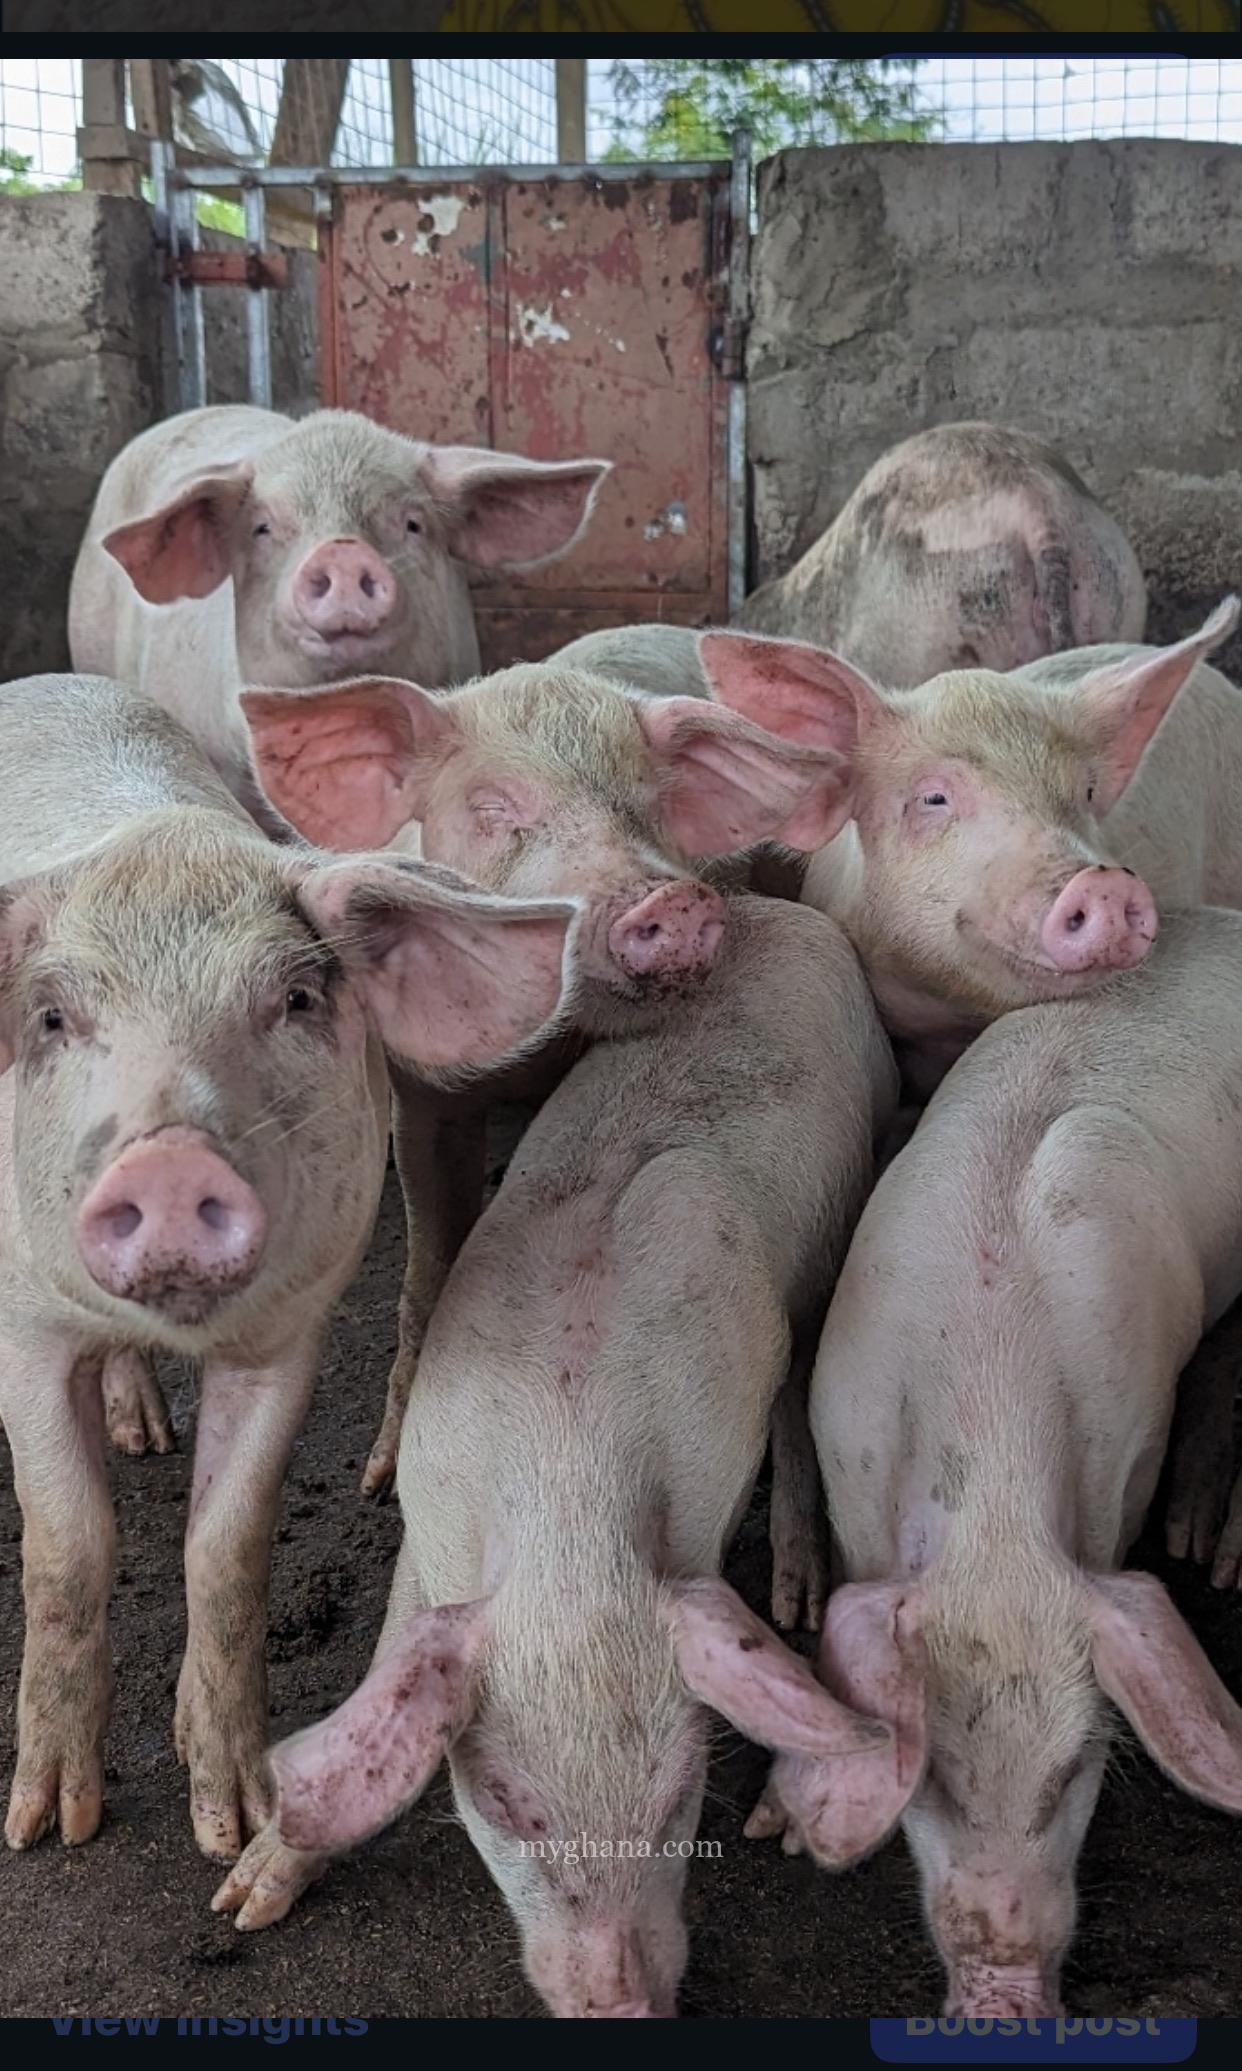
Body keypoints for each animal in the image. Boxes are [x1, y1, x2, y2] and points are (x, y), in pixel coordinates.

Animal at [0, 670, 579, 1860]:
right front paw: (52, 1825)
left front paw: (230, 1822)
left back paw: (145, 1429)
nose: (170, 1159)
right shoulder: (21, 1331)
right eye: (52, 1015)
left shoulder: (291, 1329)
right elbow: (69, 1545)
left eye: (296, 999)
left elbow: (227, 1545)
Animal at [211, 891, 900, 2015]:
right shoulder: (433, 1526)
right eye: (503, 1802)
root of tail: (767, 905)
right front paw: (242, 1901)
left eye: (678, 1798)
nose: (621, 2005)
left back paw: (797, 1590)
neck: (568, 1489)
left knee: (802, 1393)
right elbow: (390, 1662)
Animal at [242, 659, 859, 1500]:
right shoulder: (424, 1094)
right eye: (493, 807)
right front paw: (378, 1478)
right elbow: (427, 1262)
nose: (669, 898)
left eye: (648, 802)